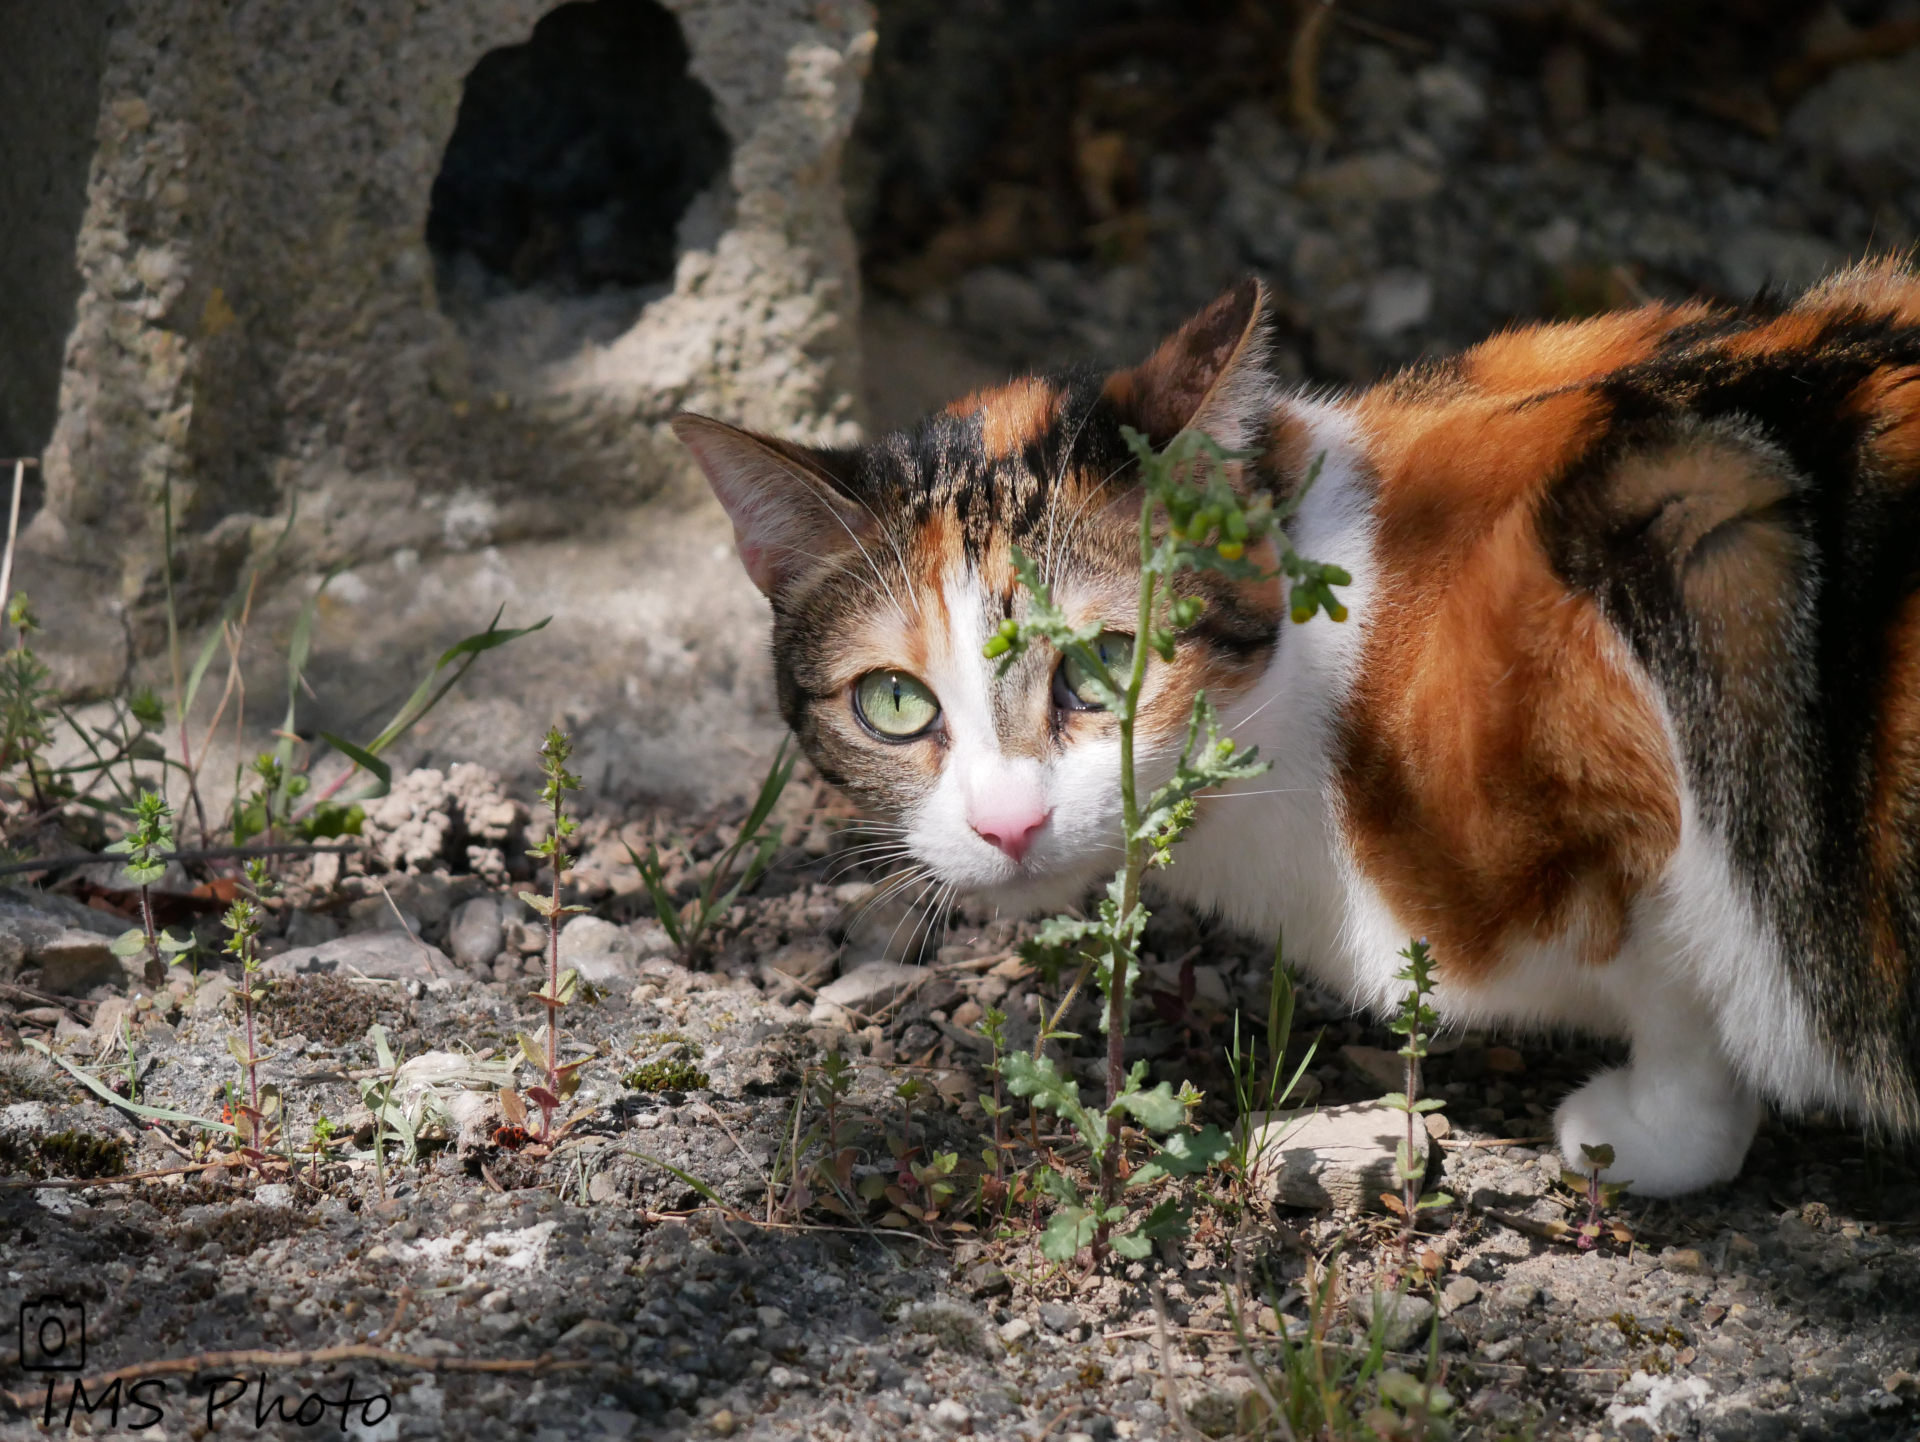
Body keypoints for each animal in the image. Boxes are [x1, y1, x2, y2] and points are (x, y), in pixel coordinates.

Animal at [675, 263, 1920, 1198]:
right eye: (895, 703)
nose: (1007, 824)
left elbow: (1698, 980)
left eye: (1104, 663)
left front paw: (1646, 1135)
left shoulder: (1665, 673)